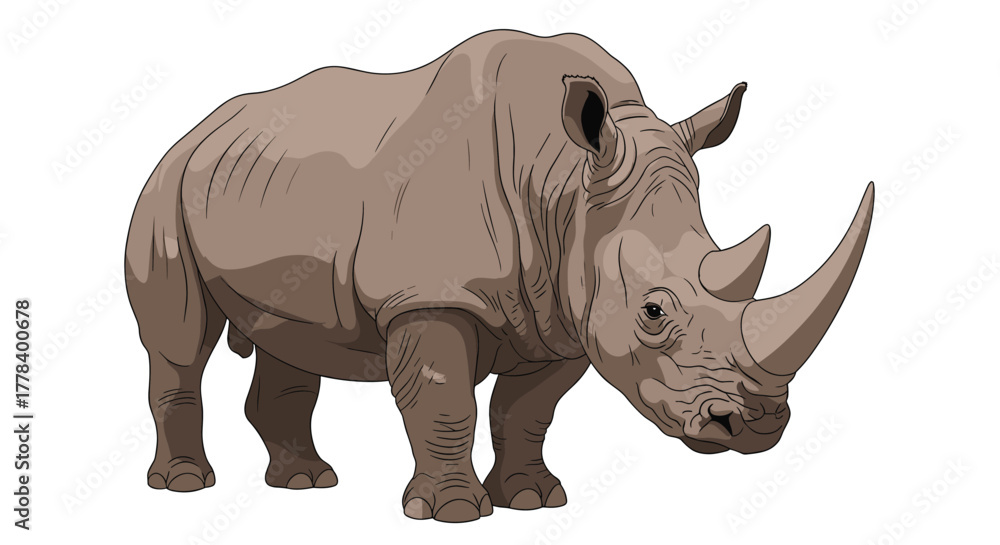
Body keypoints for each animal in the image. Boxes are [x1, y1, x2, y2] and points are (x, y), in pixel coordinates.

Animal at [125, 30, 873, 522]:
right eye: (654, 312)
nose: (755, 426)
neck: (564, 186)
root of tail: (197, 128)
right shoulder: (428, 297)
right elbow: (444, 399)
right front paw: (454, 513)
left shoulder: (564, 310)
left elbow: (528, 410)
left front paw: (533, 500)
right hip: (164, 186)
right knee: (179, 340)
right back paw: (186, 486)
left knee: (289, 335)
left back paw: (307, 484)